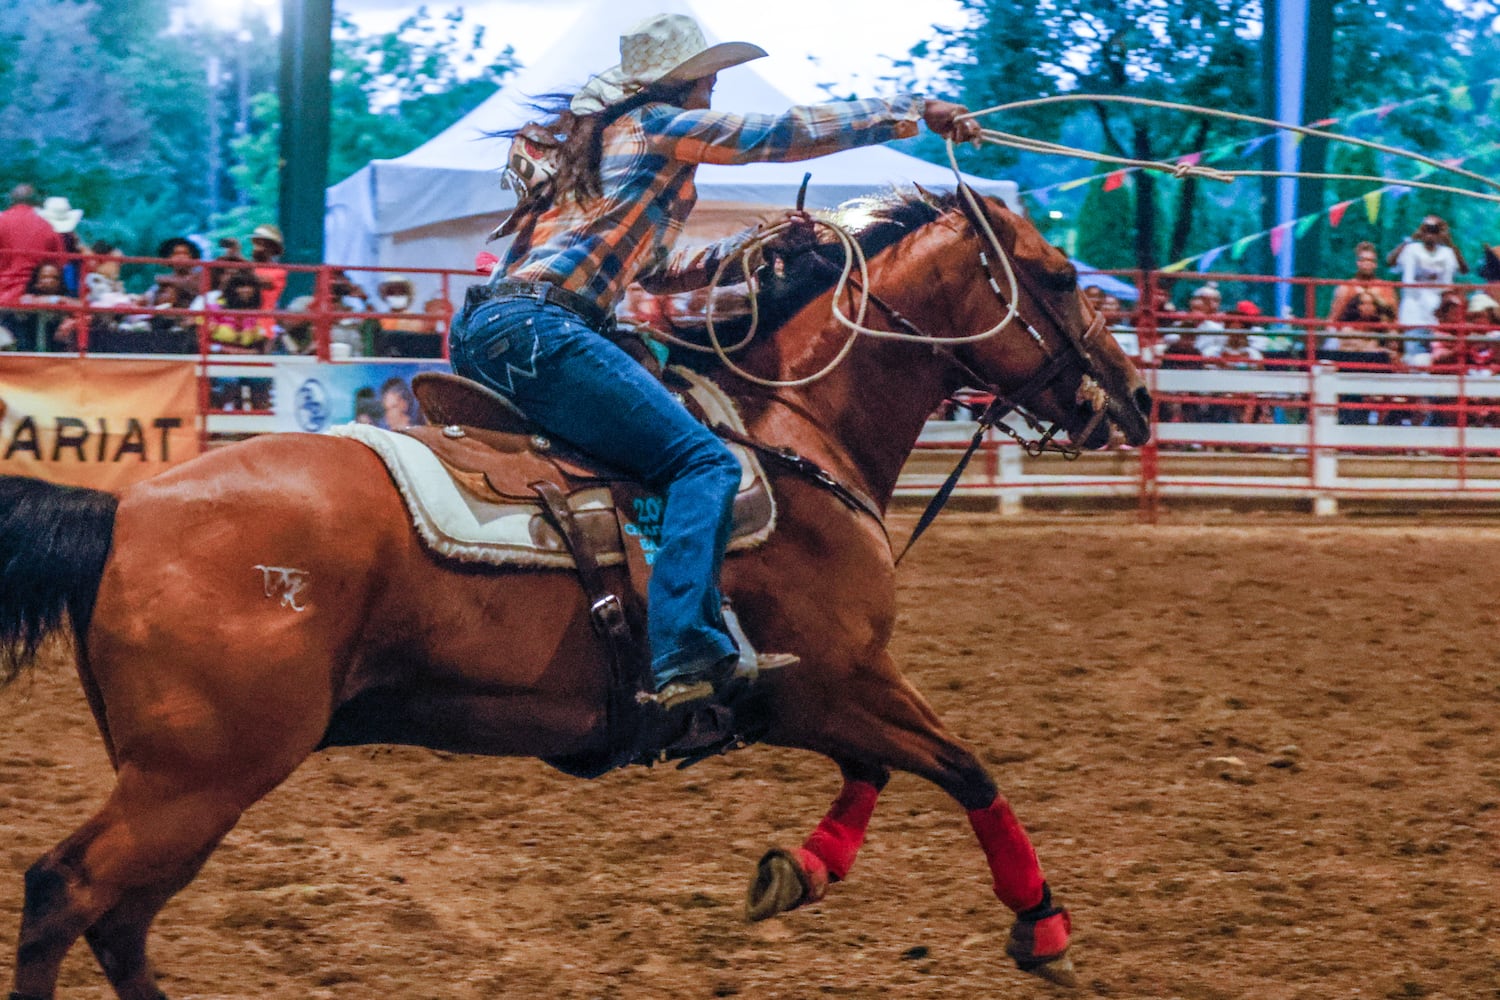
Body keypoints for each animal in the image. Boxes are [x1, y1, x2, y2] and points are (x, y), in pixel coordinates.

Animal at [0, 189, 1146, 1000]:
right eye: (1056, 274)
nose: (1133, 399)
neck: (793, 442)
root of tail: (127, 512)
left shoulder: (821, 695)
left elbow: (878, 772)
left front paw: (803, 868)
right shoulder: (829, 682)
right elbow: (964, 767)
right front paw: (1043, 927)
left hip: (195, 782)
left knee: (119, 921)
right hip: (197, 776)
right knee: (65, 893)